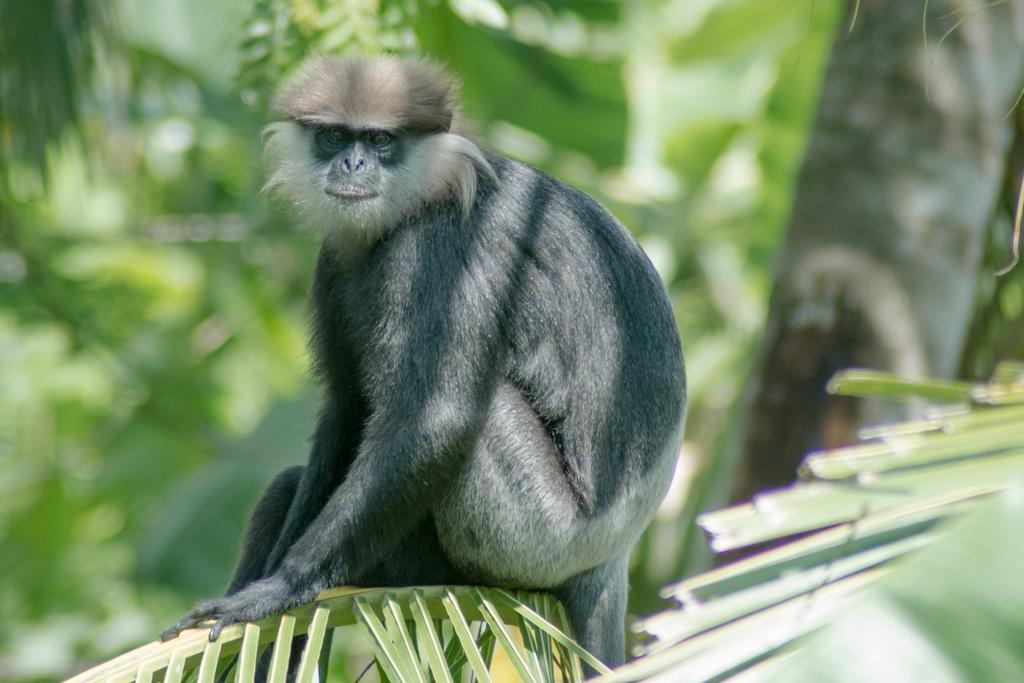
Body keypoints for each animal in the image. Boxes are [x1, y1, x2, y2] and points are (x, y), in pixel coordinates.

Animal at [161, 54, 688, 671]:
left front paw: (281, 589)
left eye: (380, 140)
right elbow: (348, 408)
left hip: (541, 538)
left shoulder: (440, 250)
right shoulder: (335, 257)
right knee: (287, 486)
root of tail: (614, 552)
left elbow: (436, 419)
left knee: (483, 412)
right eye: (334, 136)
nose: (353, 162)